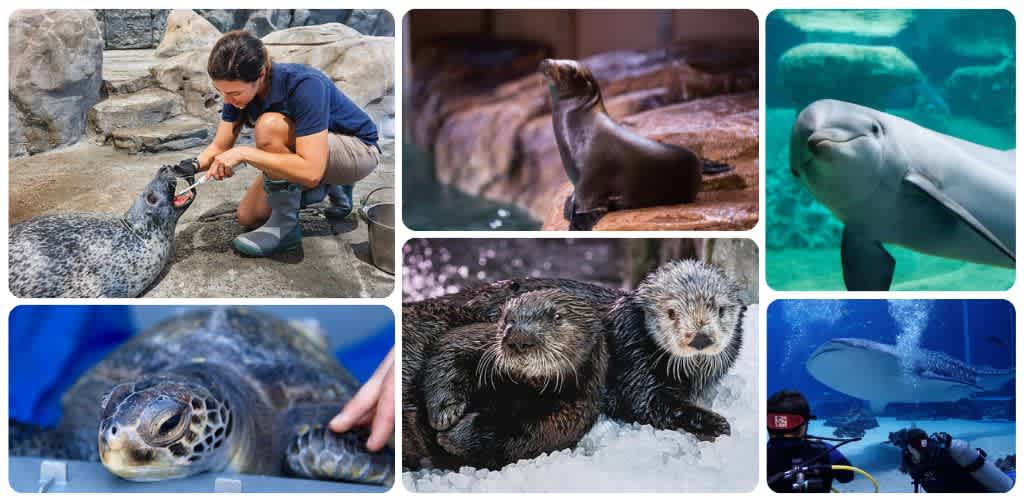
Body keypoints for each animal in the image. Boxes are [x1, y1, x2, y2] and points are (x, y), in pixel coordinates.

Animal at [403, 289, 608, 470]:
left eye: (557, 317)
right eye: (509, 318)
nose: (519, 336)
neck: (521, 388)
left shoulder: (565, 418)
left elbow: (518, 438)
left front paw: (453, 437)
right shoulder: (475, 338)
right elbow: (446, 351)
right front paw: (445, 413)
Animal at [538, 59, 733, 231]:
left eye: (570, 69)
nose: (546, 61)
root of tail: (697, 161)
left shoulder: (591, 179)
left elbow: (588, 204)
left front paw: (578, 222)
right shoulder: (578, 181)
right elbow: (575, 196)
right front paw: (568, 204)